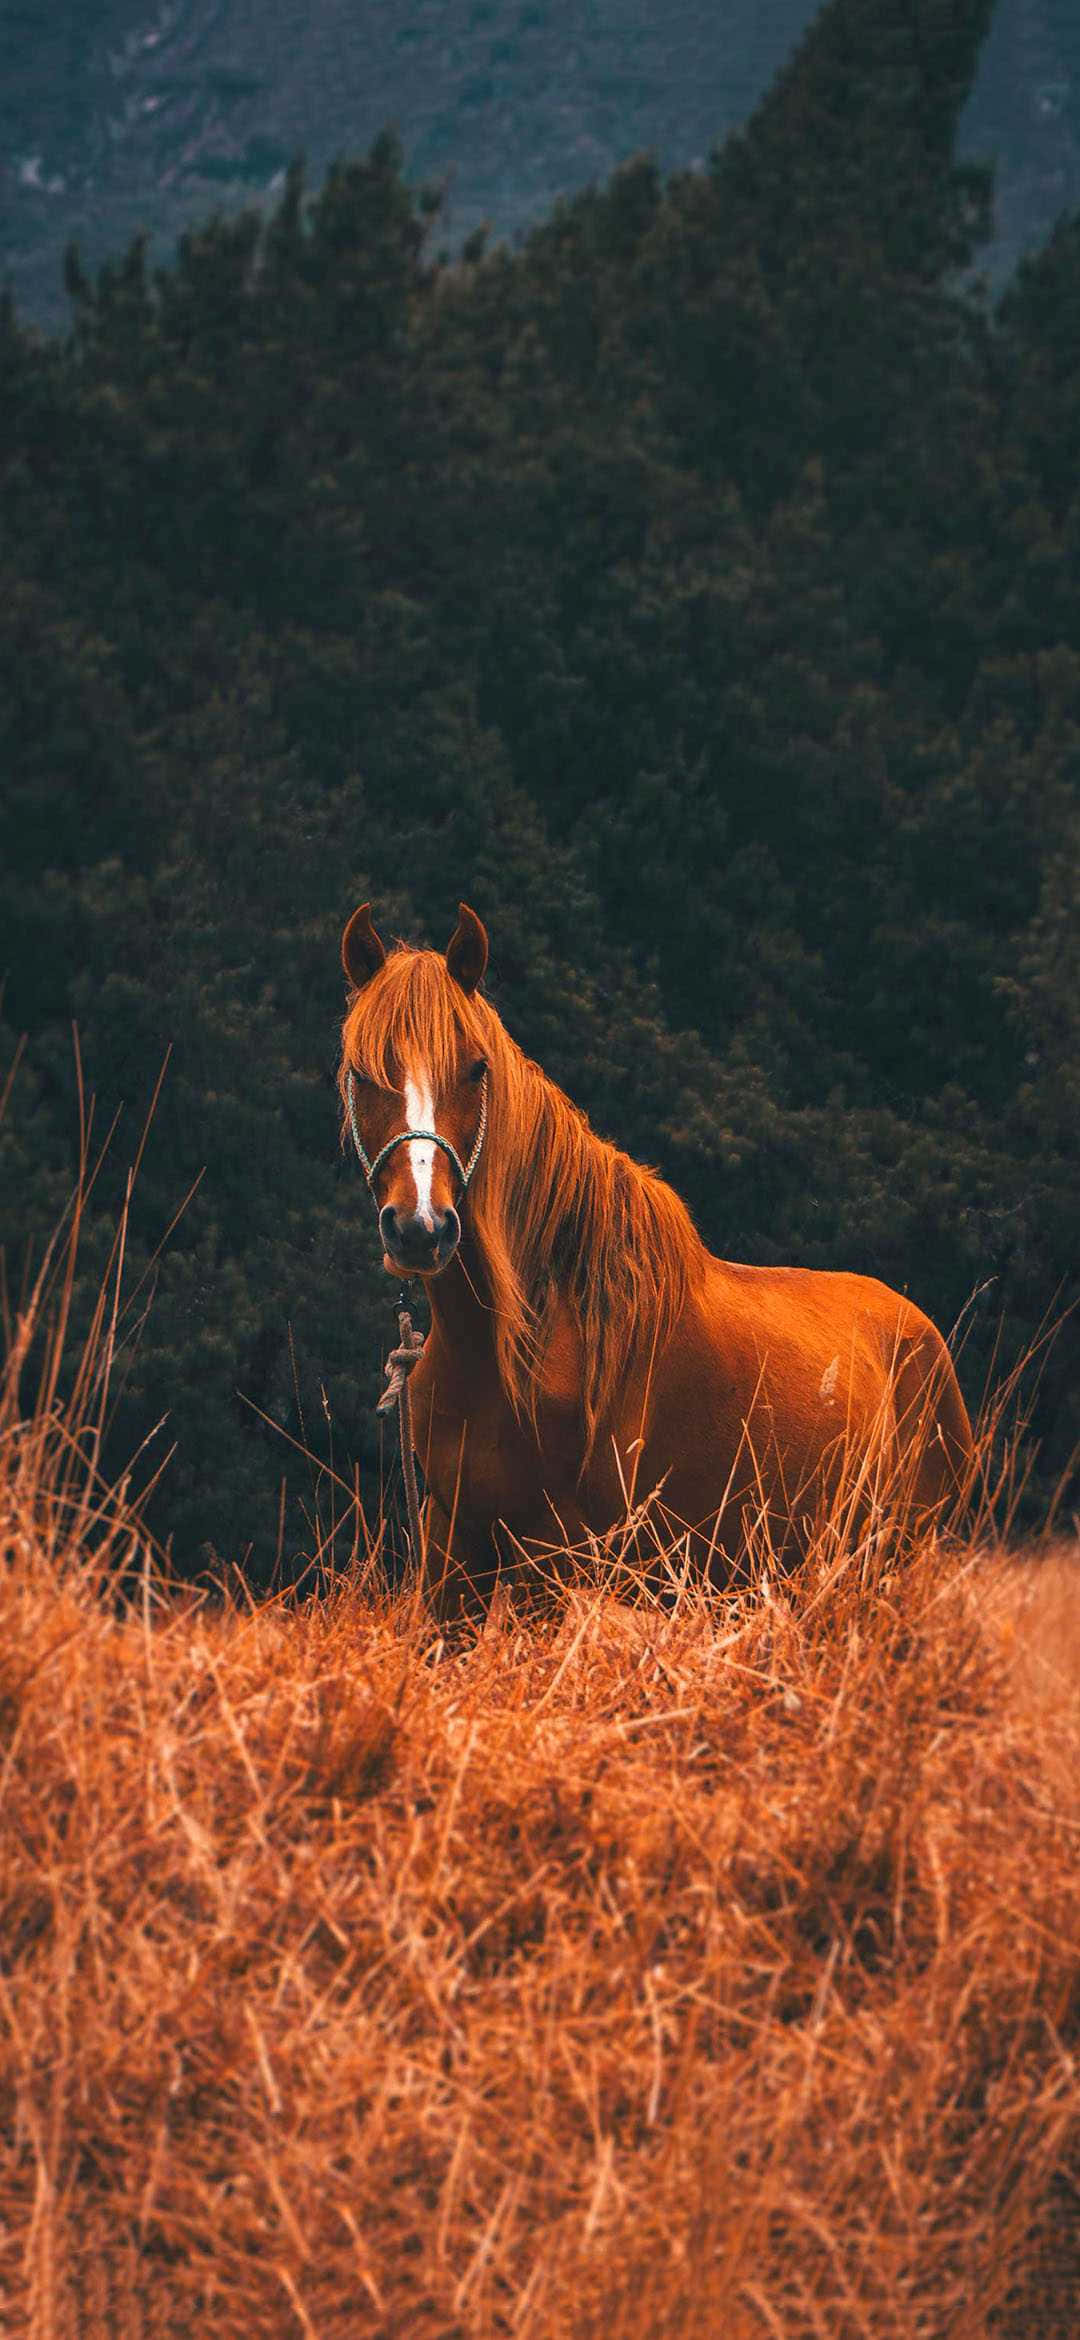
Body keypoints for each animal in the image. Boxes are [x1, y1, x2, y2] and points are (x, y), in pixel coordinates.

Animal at [338, 902, 974, 1616]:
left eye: (476, 1068)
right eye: (360, 1073)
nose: (420, 1228)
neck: (526, 1341)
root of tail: (924, 1334)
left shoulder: (552, 1564)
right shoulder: (453, 1554)